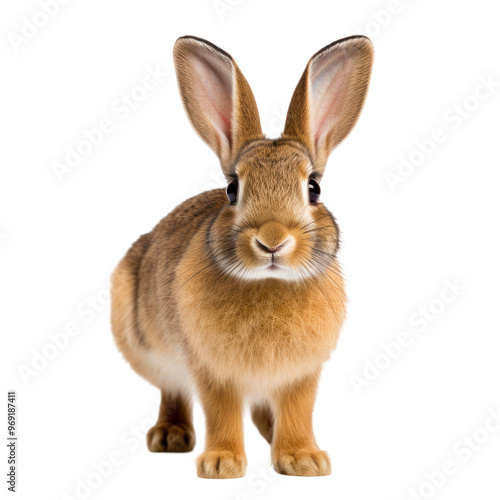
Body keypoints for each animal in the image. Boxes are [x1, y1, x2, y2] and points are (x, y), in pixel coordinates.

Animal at [111, 33, 374, 478]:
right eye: (233, 189)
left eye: (314, 189)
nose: (271, 240)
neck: (269, 283)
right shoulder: (212, 370)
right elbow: (221, 413)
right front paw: (221, 464)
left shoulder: (302, 375)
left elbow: (298, 411)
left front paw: (304, 460)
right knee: (173, 391)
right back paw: (170, 437)